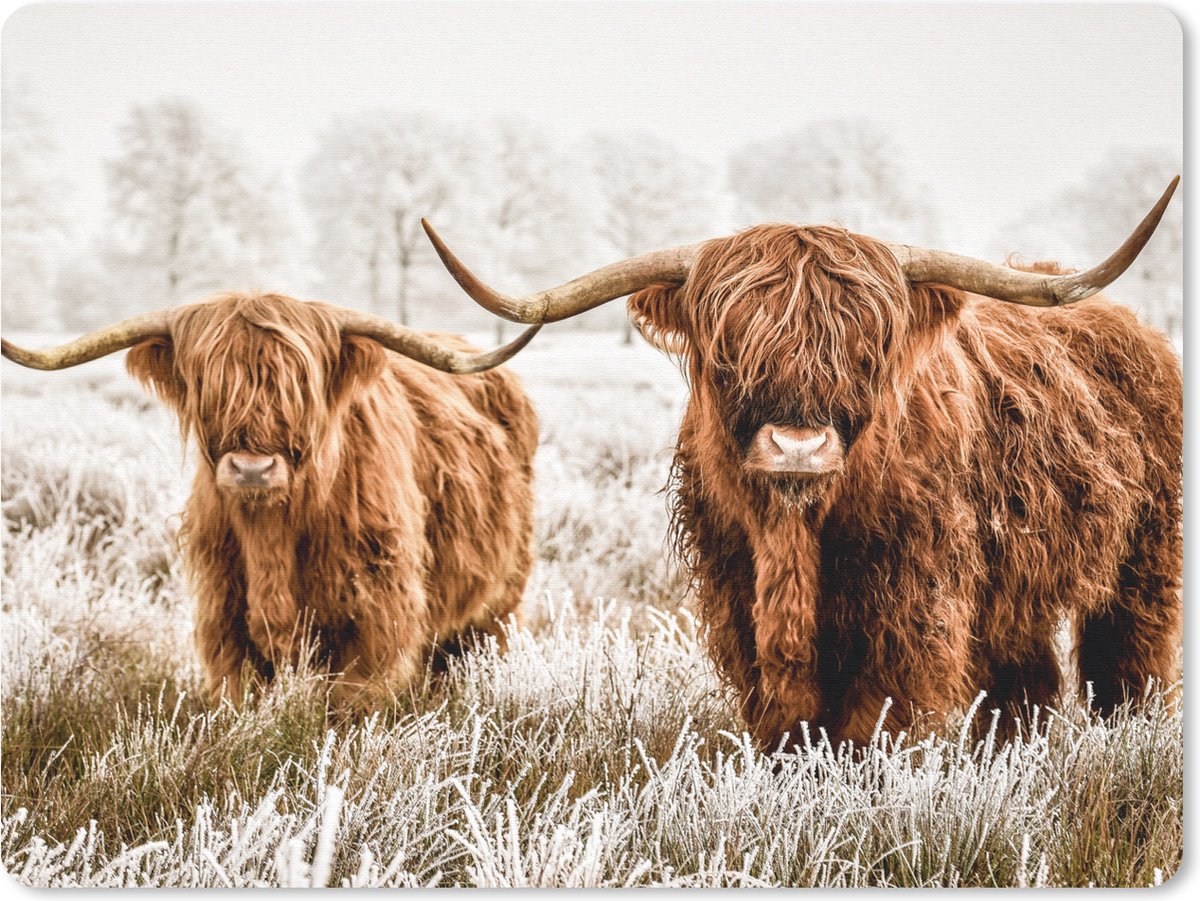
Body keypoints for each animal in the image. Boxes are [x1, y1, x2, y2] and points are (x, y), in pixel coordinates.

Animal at [2, 294, 542, 708]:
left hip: (500, 601)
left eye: (300, 387)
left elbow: (350, 706)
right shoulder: (224, 617)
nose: (252, 469)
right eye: (208, 385)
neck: (272, 536)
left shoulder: (377, 618)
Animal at [419, 177, 1182, 749]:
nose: (798, 447)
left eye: (866, 349)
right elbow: (785, 718)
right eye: (730, 350)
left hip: (1144, 560)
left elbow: (878, 719)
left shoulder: (913, 604)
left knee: (1128, 658)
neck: (797, 535)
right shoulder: (737, 594)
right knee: (1028, 679)